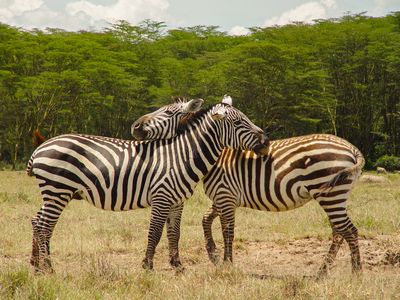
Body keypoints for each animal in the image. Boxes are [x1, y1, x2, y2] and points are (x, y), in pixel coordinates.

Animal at [26, 98, 268, 272]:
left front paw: (177, 265)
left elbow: (174, 233)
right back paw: (48, 267)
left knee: (38, 220)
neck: (180, 155)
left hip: (52, 192)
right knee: (45, 225)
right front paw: (148, 265)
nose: (265, 142)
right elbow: (155, 232)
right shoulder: (161, 197)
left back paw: (37, 265)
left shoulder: (177, 202)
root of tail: (41, 147)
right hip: (58, 190)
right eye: (238, 123)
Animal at [131, 96, 366, 276]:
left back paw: (356, 274)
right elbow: (206, 219)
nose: (135, 126)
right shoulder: (222, 197)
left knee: (349, 230)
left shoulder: (226, 196)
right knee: (339, 231)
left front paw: (227, 264)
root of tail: (352, 148)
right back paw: (322, 272)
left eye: (167, 112)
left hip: (331, 195)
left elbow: (227, 231)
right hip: (334, 196)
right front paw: (213, 254)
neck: (216, 158)